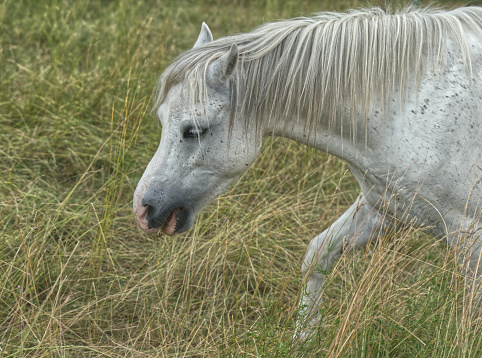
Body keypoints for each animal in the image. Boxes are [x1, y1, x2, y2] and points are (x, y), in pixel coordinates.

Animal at [134, 5, 482, 334]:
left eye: (193, 130)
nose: (143, 209)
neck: (410, 106)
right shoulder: (386, 208)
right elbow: (317, 256)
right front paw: (304, 336)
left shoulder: (469, 235)